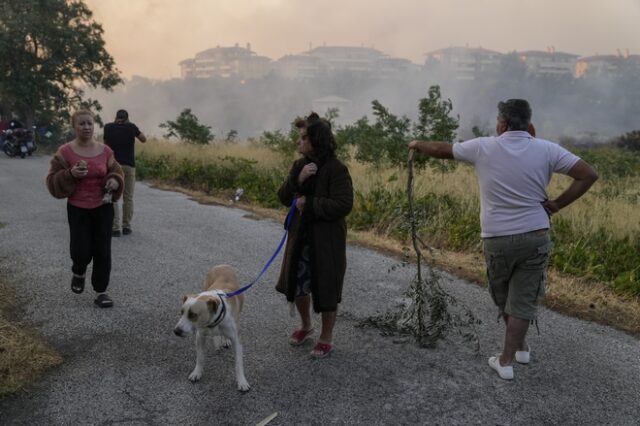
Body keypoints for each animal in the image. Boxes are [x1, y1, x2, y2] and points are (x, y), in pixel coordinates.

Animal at [174, 264, 251, 392]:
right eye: (181, 312)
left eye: (193, 315)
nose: (176, 331)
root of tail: (222, 264)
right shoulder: (200, 336)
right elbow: (200, 357)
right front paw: (197, 373)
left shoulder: (237, 340)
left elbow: (238, 363)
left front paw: (242, 382)